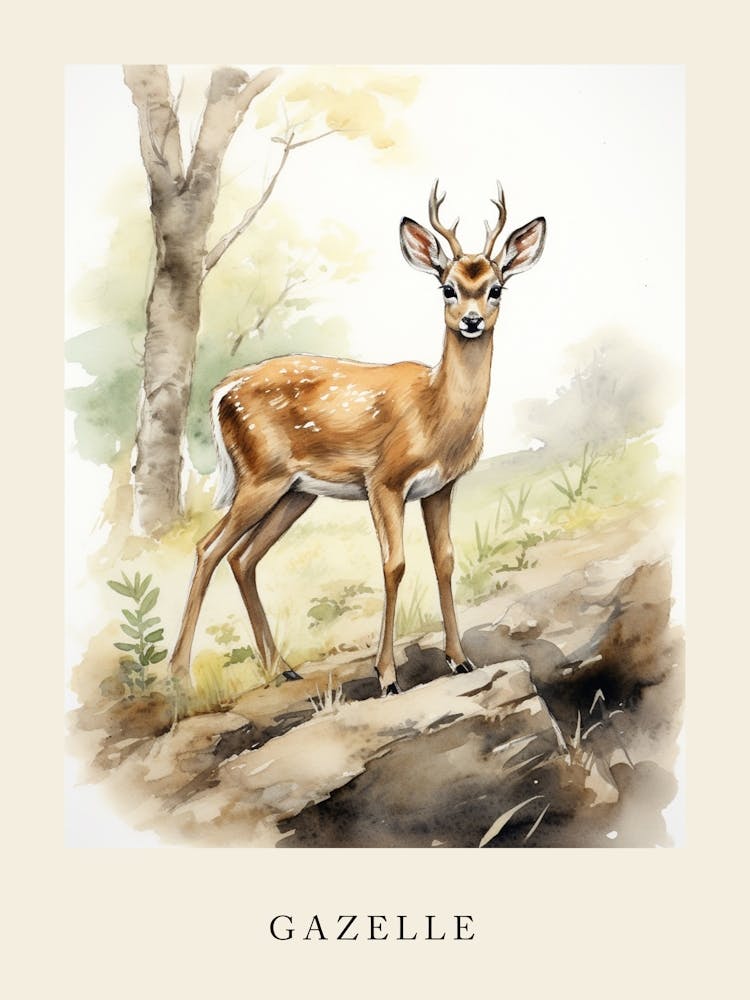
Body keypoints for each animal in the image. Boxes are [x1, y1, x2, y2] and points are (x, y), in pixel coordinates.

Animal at [170, 181, 546, 695]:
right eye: (447, 287)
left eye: (496, 288)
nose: (471, 321)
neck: (437, 414)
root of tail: (222, 390)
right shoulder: (384, 479)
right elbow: (394, 564)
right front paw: (386, 676)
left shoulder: (441, 487)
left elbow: (445, 560)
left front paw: (459, 659)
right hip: (261, 476)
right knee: (209, 548)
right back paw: (178, 676)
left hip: (295, 492)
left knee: (243, 558)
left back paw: (281, 667)